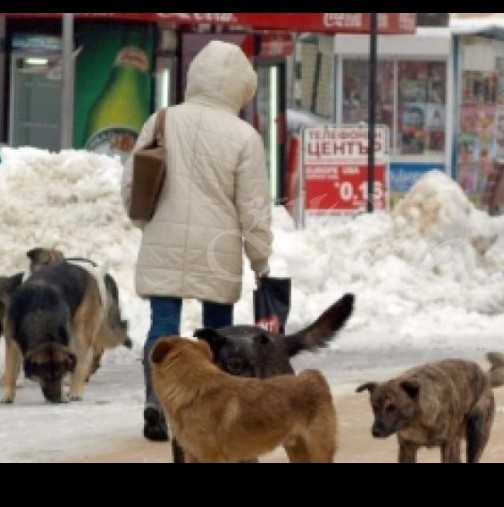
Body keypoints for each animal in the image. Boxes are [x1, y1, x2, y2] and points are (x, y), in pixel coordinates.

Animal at [0, 251, 130, 404]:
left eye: (60, 374)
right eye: (43, 376)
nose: (57, 399)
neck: (39, 313)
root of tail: (90, 271)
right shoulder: (12, 341)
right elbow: (10, 369)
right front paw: (7, 394)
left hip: (81, 332)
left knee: (82, 361)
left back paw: (75, 391)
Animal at [151, 338, 338, 464]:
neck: (193, 389)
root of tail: (314, 377)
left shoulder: (211, 458)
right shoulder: (192, 456)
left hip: (318, 451)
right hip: (297, 450)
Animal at [356, 354, 504, 464]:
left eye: (392, 407)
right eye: (374, 407)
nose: (375, 432)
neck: (416, 421)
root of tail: (485, 376)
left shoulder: (448, 445)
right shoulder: (407, 448)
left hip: (476, 432)